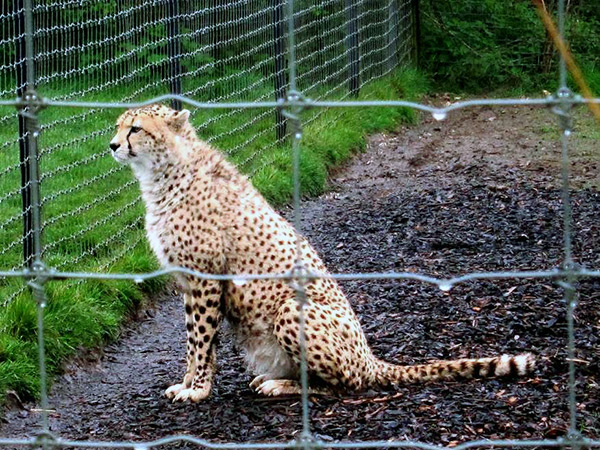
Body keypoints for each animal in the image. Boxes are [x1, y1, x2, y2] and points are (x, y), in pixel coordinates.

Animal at [109, 103, 536, 402]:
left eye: (136, 128)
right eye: (117, 125)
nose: (112, 145)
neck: (165, 172)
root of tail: (369, 357)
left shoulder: (205, 278)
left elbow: (199, 341)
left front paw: (196, 390)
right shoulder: (189, 283)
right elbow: (196, 343)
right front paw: (187, 382)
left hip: (291, 311)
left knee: (346, 385)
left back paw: (280, 386)